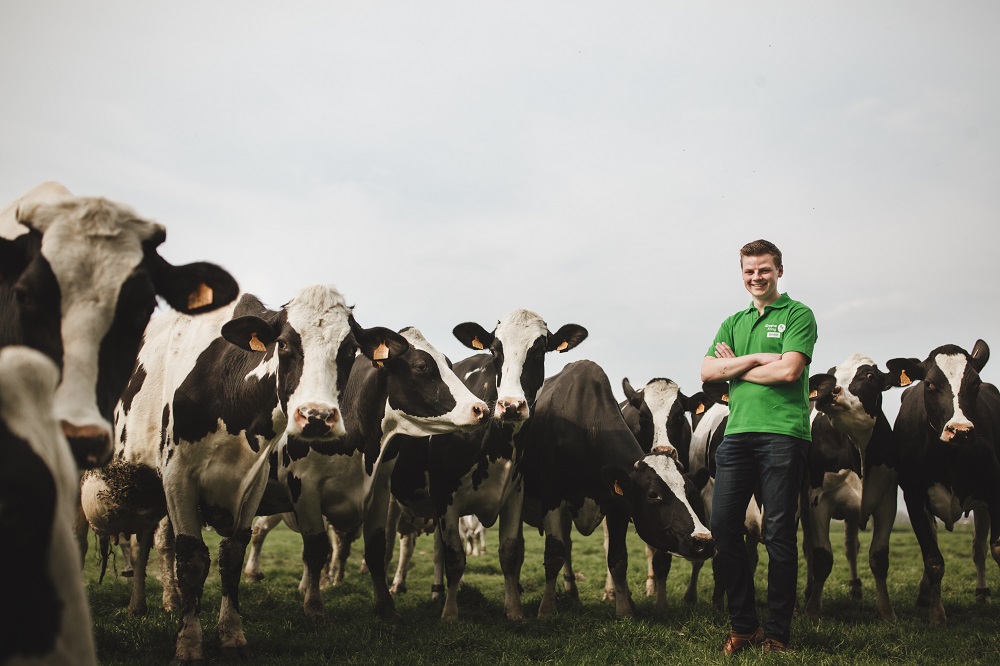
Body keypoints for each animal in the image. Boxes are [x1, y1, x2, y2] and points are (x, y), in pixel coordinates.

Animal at [80, 284, 404, 660]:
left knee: (148, 540)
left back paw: (153, 602)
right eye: (284, 344)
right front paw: (189, 642)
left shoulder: (254, 482)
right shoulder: (178, 476)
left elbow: (232, 555)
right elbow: (191, 559)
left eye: (350, 349)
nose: (317, 417)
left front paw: (231, 635)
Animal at [520, 358, 716, 616]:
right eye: (653, 494)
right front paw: (546, 610)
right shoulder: (552, 497)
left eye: (691, 493)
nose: (704, 540)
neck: (587, 428)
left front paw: (627, 609)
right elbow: (554, 554)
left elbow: (619, 557)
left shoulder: (618, 505)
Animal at [808, 352, 904, 616]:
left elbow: (878, 557)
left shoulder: (887, 501)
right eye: (830, 374)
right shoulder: (818, 500)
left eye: (869, 376)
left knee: (851, 546)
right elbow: (822, 557)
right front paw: (812, 610)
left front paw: (886, 611)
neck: (858, 448)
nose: (827, 392)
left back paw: (854, 587)